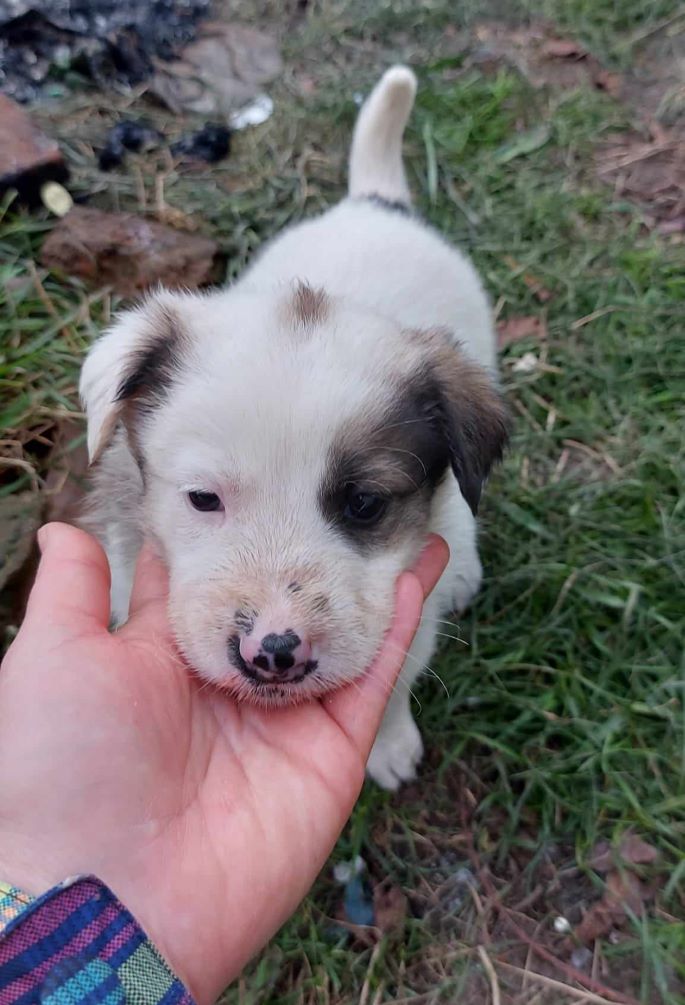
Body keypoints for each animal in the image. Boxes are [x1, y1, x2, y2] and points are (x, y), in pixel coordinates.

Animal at [79, 68, 506, 791]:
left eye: (364, 504)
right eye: (202, 498)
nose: (274, 653)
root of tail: (373, 204)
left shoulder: (406, 614)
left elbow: (394, 680)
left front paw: (388, 742)